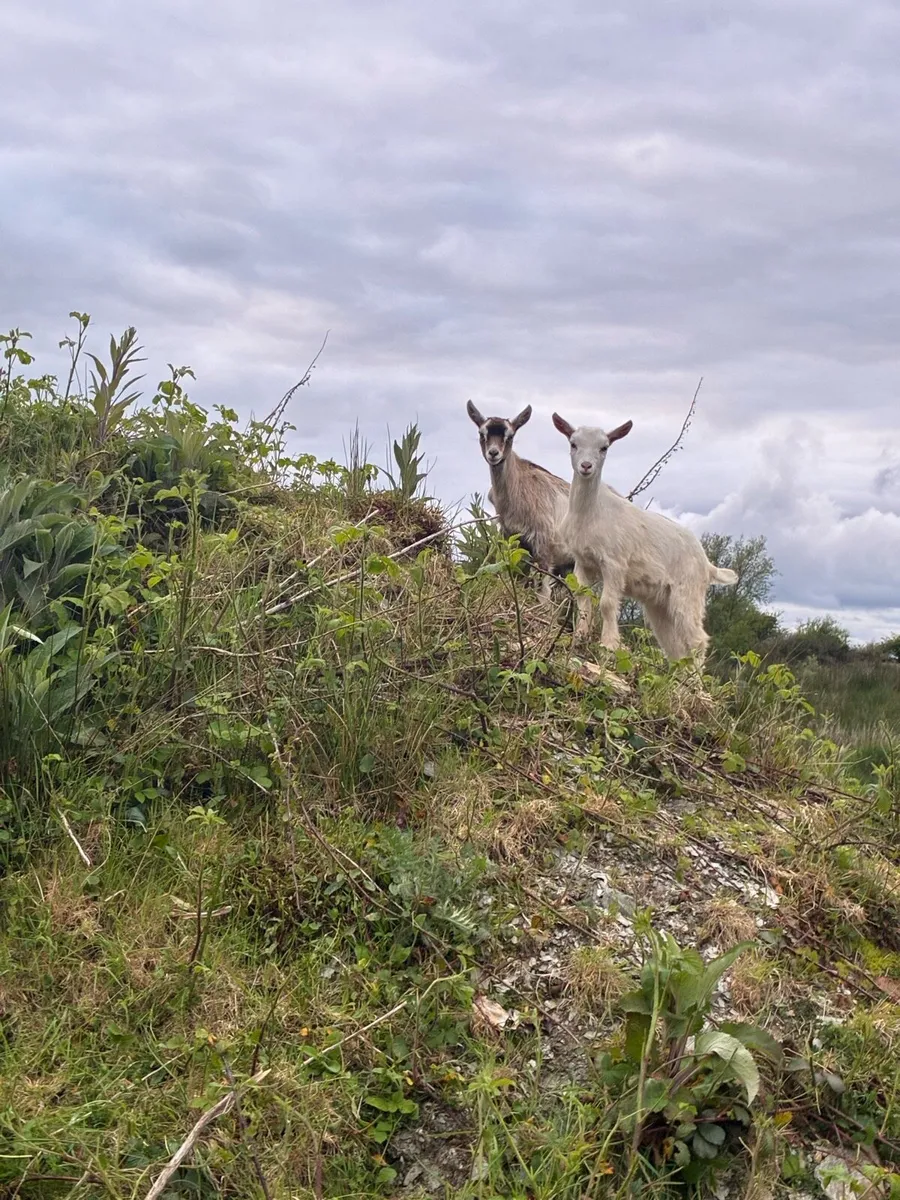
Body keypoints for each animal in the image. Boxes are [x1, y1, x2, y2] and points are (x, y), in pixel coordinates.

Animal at [467, 401, 573, 601]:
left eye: (510, 435)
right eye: (482, 433)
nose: (494, 453)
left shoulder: (543, 543)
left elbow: (542, 592)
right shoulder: (511, 538)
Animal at [552, 413, 738, 660]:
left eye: (604, 447)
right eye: (573, 444)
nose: (586, 466)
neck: (591, 512)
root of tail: (707, 565)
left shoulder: (615, 563)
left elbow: (607, 603)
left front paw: (608, 645)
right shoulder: (583, 561)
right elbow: (583, 597)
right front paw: (579, 638)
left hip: (687, 592)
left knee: (696, 640)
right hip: (660, 604)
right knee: (673, 645)